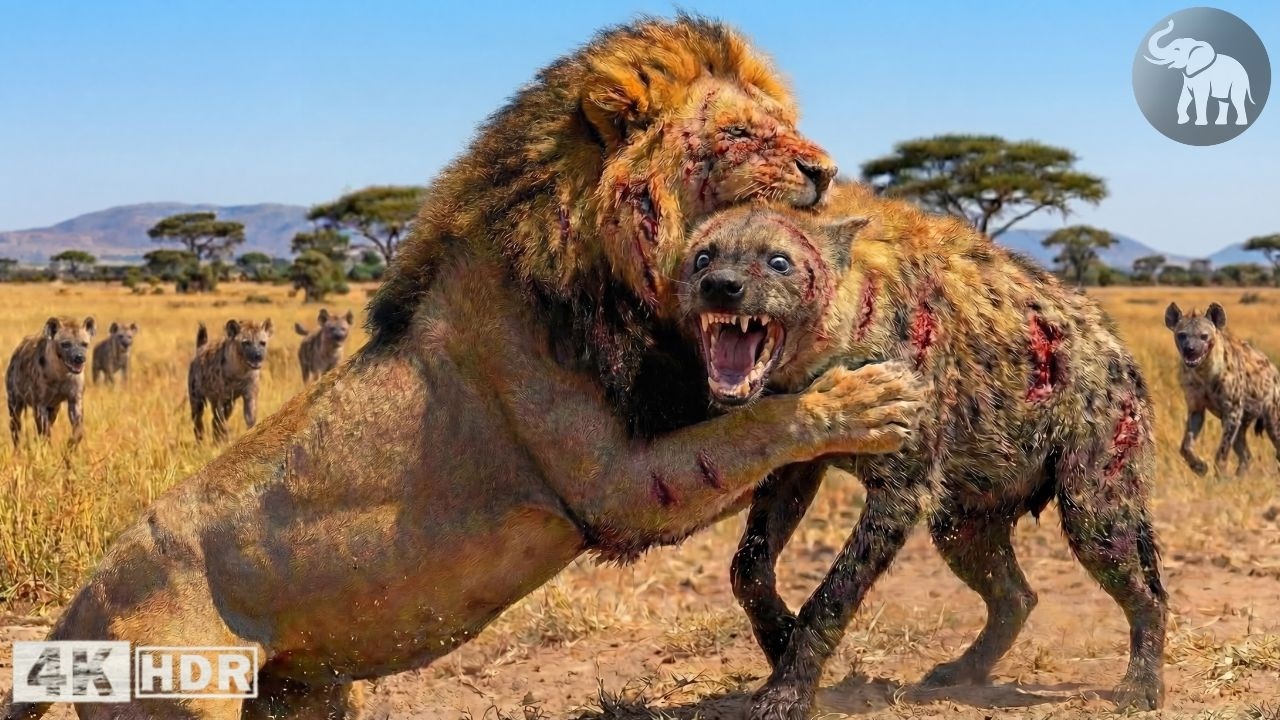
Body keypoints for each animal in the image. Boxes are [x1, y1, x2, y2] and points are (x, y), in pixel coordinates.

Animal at [2, 18, 926, 720]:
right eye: (740, 134)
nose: (825, 171)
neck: (608, 272)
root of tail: (77, 607)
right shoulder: (617, 491)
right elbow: (751, 430)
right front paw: (866, 397)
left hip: (303, 694)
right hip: (186, 694)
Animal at [676, 190, 1167, 718]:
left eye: (779, 262)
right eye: (703, 258)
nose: (721, 286)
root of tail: (1120, 351)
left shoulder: (902, 488)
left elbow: (833, 595)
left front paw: (786, 693)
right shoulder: (799, 454)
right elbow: (747, 566)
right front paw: (778, 640)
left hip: (1098, 480)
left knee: (1134, 577)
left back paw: (1141, 687)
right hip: (966, 515)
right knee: (1014, 593)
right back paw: (962, 671)